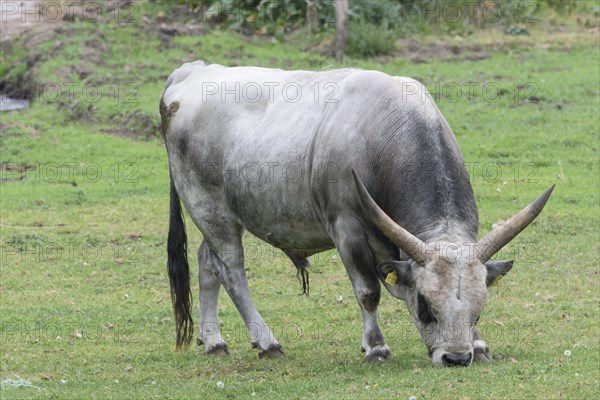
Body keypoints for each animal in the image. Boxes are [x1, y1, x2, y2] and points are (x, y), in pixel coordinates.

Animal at [159, 61, 552, 366]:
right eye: (425, 307)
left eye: (479, 310)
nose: (456, 358)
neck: (384, 136)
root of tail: (191, 72)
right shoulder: (346, 227)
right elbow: (368, 292)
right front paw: (376, 347)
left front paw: (480, 344)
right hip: (210, 208)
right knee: (232, 271)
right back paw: (267, 341)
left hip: (219, 217)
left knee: (207, 262)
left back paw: (213, 340)